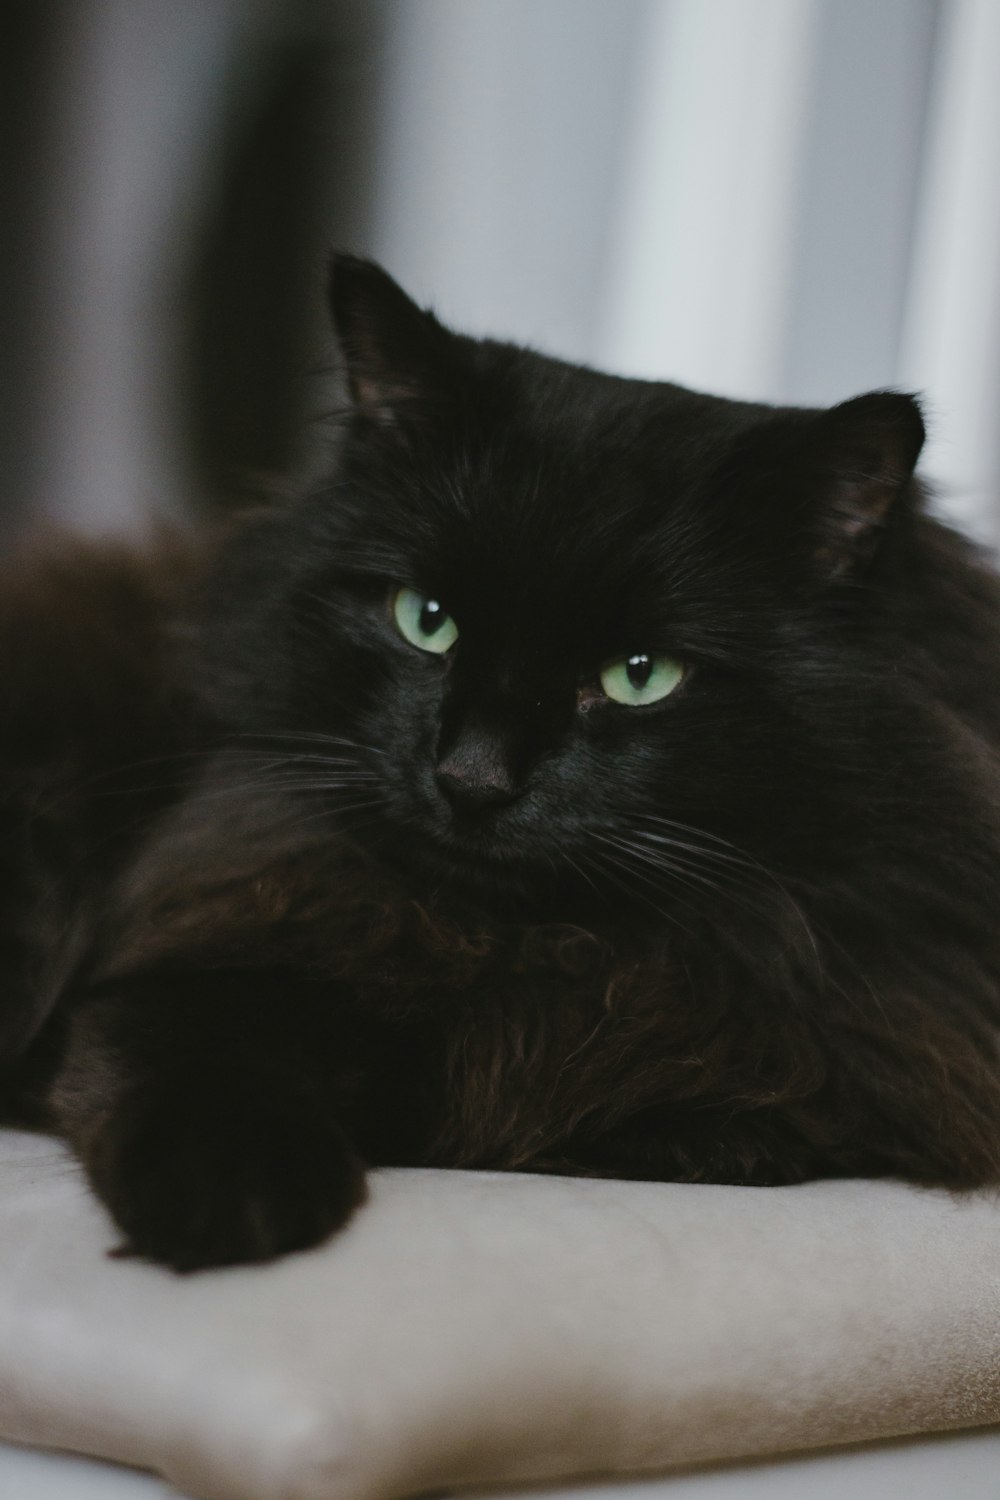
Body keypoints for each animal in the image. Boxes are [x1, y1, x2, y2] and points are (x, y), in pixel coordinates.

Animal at [1, 258, 1000, 1266]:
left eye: (642, 674)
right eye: (426, 620)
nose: (472, 779)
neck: (521, 943)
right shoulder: (190, 964)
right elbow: (196, 1059)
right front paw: (231, 1202)